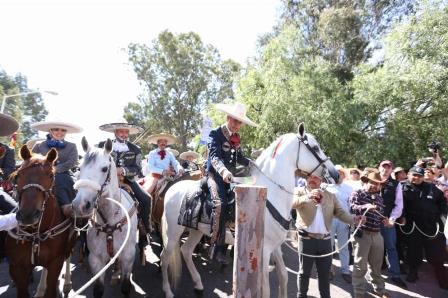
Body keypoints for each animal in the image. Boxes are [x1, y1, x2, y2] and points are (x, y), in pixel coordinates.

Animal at [5, 146, 75, 298]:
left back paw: (66, 283)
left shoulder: (55, 263)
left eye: (51, 175)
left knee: (68, 256)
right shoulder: (17, 268)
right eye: (18, 175)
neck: (35, 234)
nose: (28, 215)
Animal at [72, 138, 137, 298]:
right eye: (79, 168)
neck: (110, 221)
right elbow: (98, 289)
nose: (80, 205)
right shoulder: (96, 260)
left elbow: (125, 287)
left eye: (104, 169)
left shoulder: (128, 256)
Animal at [159, 122, 338, 296]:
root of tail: (172, 188)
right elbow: (265, 289)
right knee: (165, 257)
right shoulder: (265, 251)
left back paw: (198, 285)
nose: (335, 174)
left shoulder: (276, 247)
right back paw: (167, 290)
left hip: (196, 230)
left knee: (186, 251)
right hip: (173, 232)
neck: (270, 194)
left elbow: (283, 276)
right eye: (315, 147)